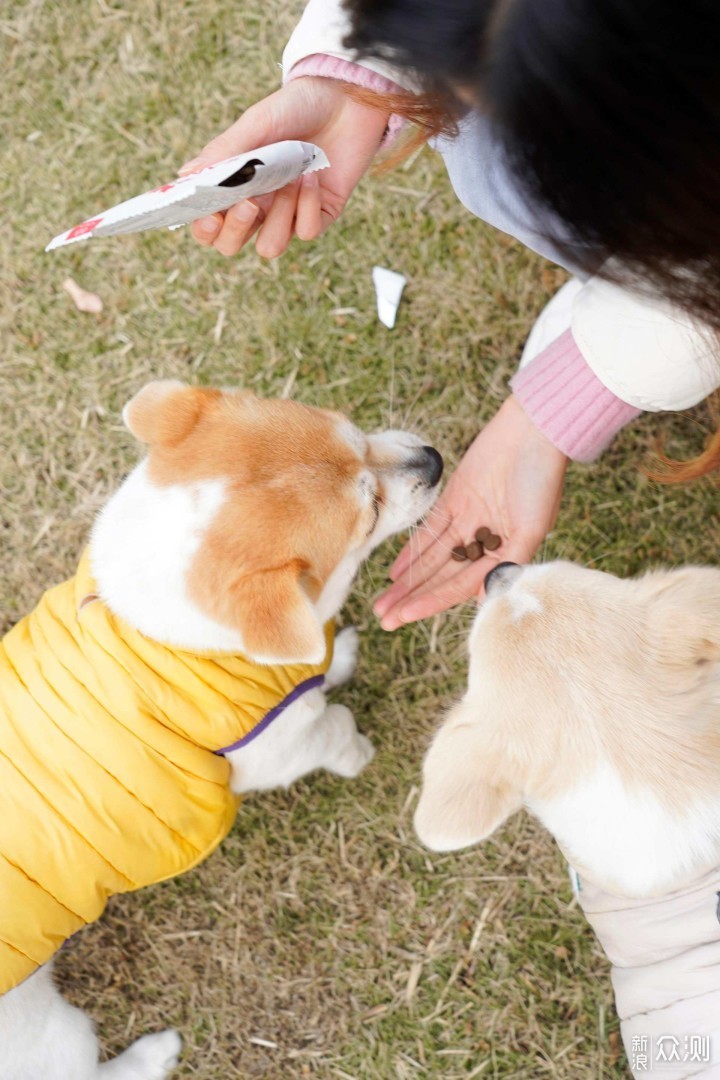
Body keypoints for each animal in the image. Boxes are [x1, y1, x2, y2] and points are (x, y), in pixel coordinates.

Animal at [0, 382, 442, 1080]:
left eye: (356, 430)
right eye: (369, 510)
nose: (435, 459)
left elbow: (315, 670)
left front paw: (330, 660)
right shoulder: (271, 753)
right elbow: (332, 727)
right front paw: (355, 745)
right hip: (47, 1032)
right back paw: (154, 1054)